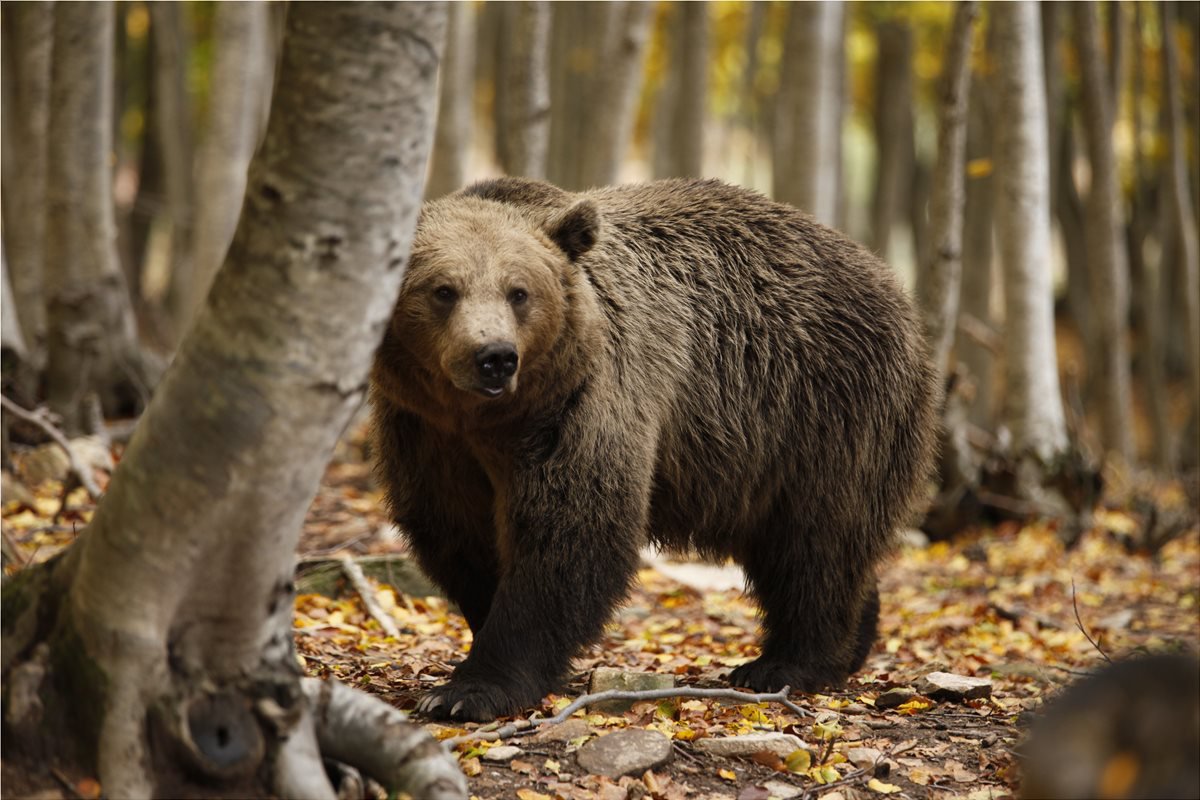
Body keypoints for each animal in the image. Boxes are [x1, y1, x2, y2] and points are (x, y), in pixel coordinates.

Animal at [369, 178, 931, 724]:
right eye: (443, 290)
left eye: (518, 292)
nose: (495, 357)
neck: (489, 422)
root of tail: (887, 277)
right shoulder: (428, 435)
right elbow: (459, 534)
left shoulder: (578, 406)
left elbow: (568, 534)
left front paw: (470, 689)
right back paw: (852, 642)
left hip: (822, 409)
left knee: (815, 541)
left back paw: (784, 663)